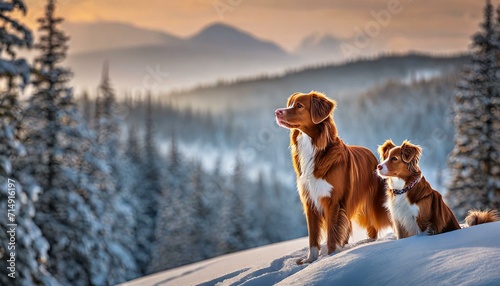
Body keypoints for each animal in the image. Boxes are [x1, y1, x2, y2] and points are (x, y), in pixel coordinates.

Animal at [276, 91, 392, 264]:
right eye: (290, 104)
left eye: (299, 106)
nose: (277, 112)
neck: (312, 147)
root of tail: (372, 155)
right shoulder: (309, 200)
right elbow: (313, 237)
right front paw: (310, 260)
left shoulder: (333, 201)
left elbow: (332, 234)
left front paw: (331, 258)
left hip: (375, 202)